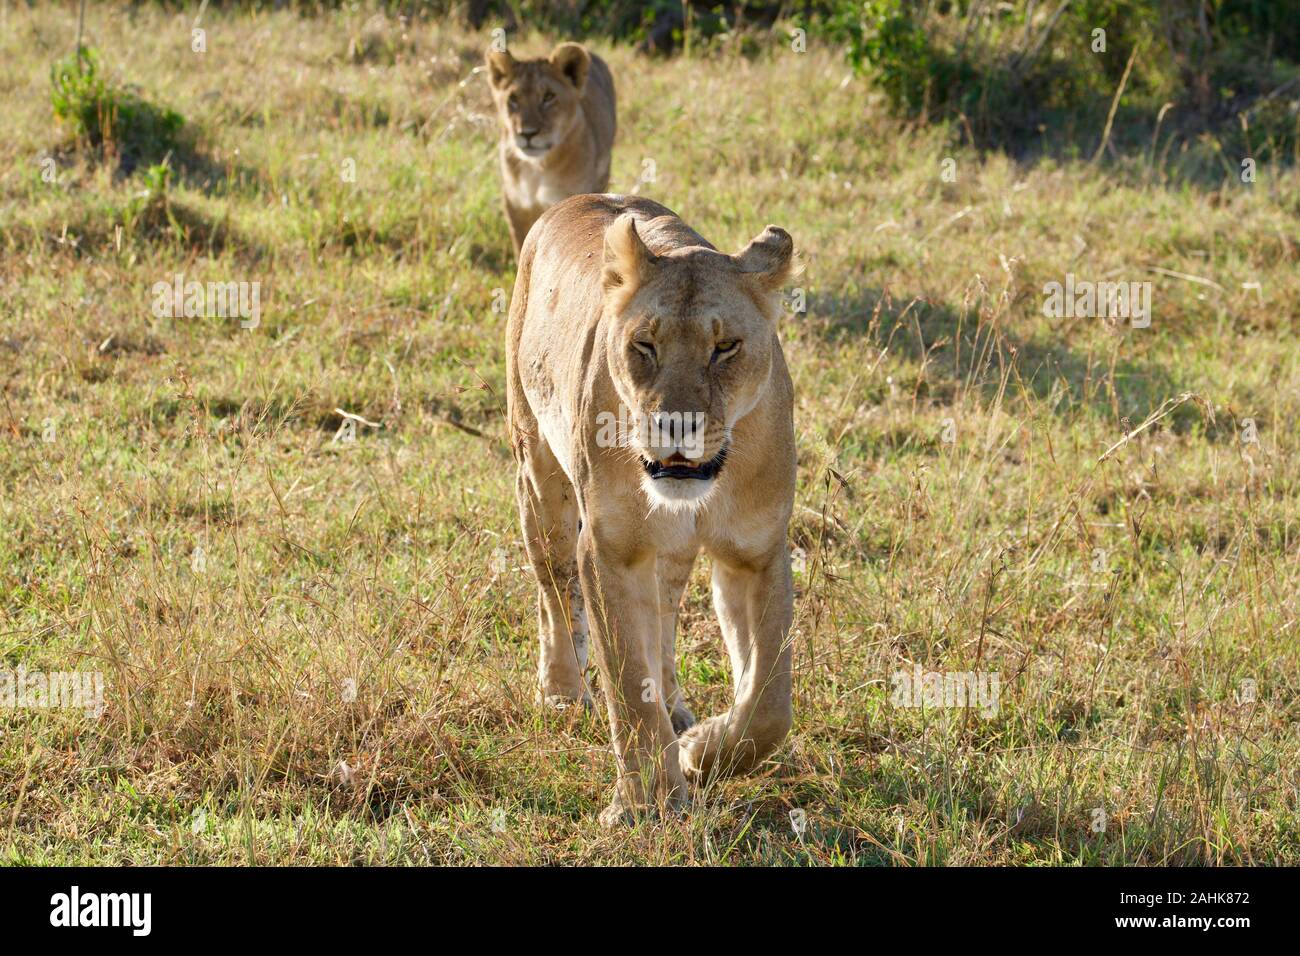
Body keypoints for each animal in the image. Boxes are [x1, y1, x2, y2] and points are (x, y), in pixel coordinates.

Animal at [484, 42, 616, 256]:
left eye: (548, 97)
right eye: (513, 99)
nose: (527, 133)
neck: (537, 169)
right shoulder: (515, 204)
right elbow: (521, 245)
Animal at [505, 194, 798, 825]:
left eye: (725, 347)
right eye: (645, 345)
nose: (675, 425)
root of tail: (573, 201)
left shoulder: (757, 552)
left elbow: (768, 701)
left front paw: (702, 752)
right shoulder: (609, 550)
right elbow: (627, 681)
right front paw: (651, 800)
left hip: (671, 552)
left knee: (662, 615)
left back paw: (679, 712)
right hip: (539, 475)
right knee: (554, 590)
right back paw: (562, 692)